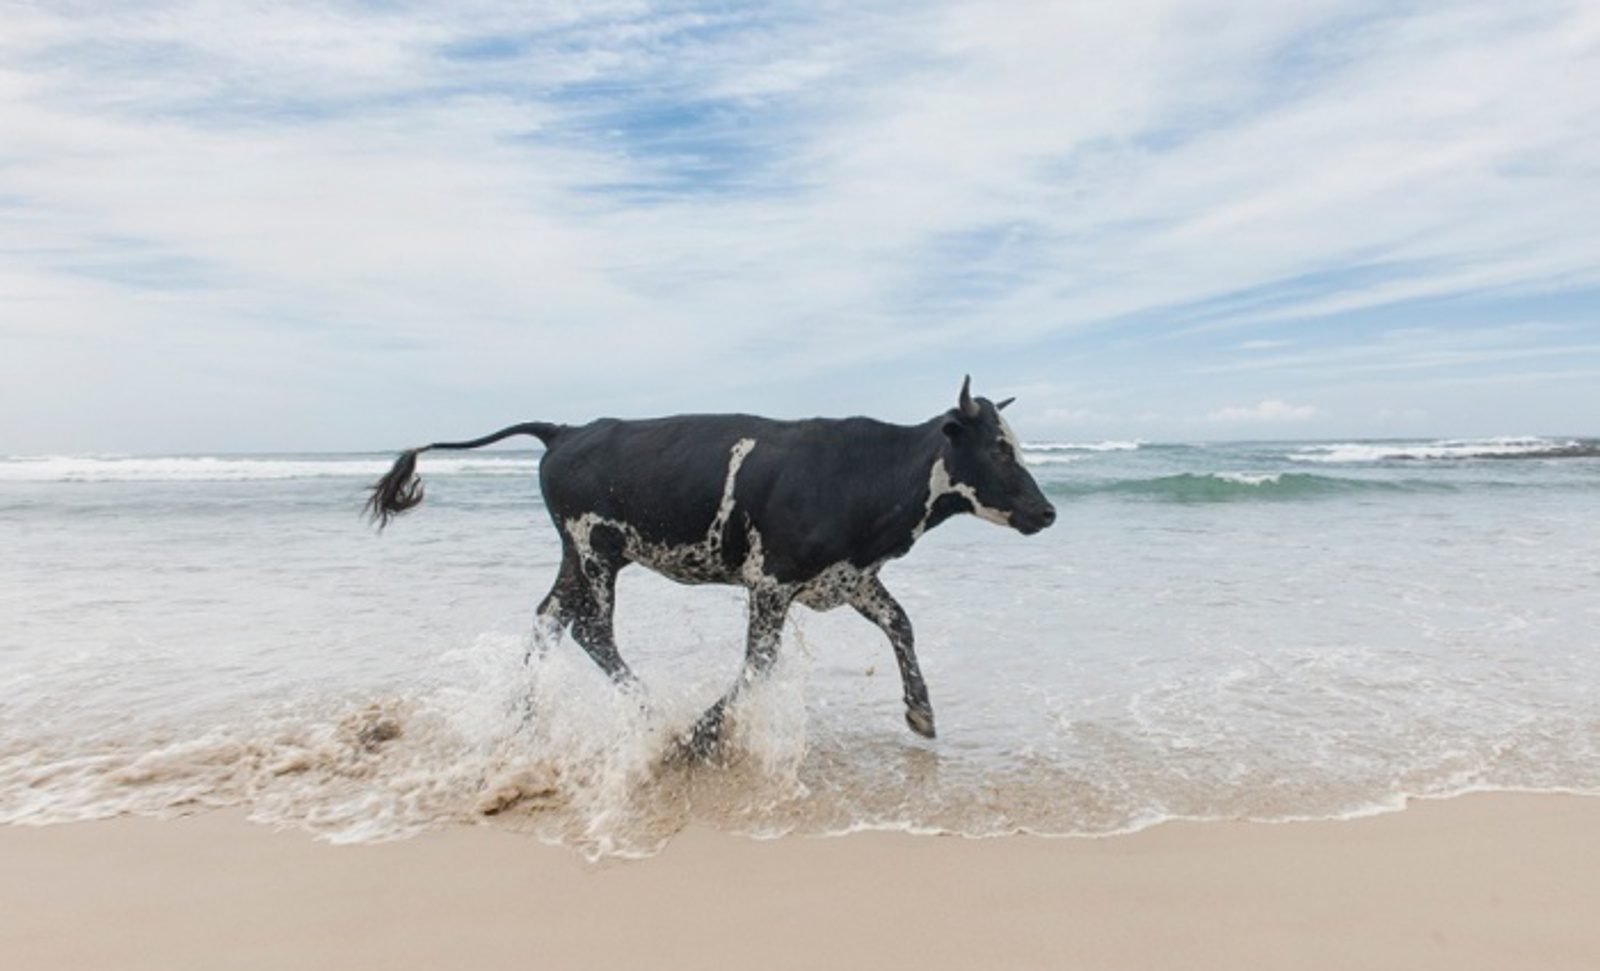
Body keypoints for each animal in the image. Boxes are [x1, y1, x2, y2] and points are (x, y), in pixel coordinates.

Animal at [365, 377, 1056, 757]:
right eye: (1000, 448)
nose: (1046, 511)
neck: (866, 472)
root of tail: (566, 430)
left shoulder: (852, 577)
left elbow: (902, 624)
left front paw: (921, 710)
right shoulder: (771, 581)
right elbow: (758, 664)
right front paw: (699, 735)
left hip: (577, 556)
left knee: (548, 618)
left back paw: (522, 717)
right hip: (595, 550)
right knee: (592, 629)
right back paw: (649, 713)